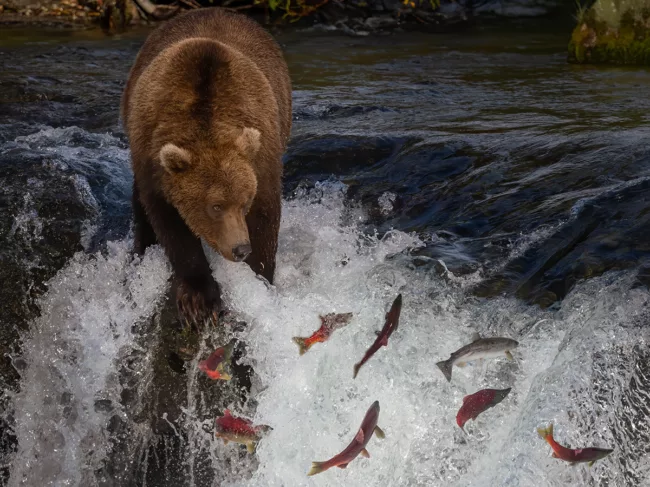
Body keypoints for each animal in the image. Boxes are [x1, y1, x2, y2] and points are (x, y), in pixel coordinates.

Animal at [121, 8, 292, 327]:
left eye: (244, 202)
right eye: (215, 206)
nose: (240, 248)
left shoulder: (262, 159)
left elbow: (266, 217)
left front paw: (259, 278)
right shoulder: (152, 161)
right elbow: (170, 226)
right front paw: (199, 300)